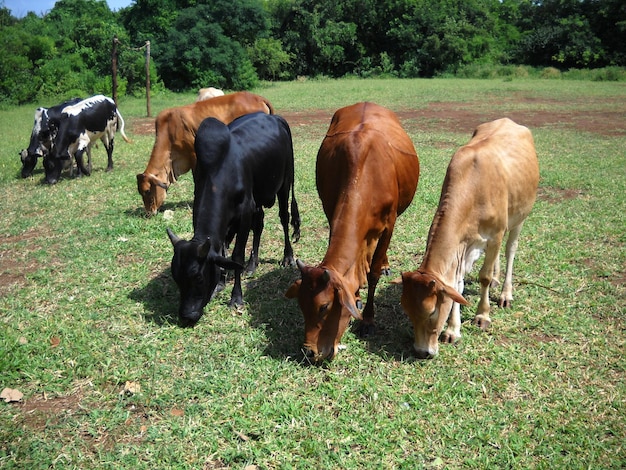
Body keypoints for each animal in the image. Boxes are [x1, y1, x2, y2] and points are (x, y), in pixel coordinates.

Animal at [166, 112, 300, 326]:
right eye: (177, 278)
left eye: (199, 279)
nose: (187, 316)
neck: (219, 170)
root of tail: (275, 117)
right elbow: (222, 252)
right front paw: (220, 283)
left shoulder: (245, 212)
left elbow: (236, 256)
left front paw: (236, 297)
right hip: (258, 199)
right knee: (259, 224)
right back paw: (252, 265)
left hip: (285, 184)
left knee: (284, 219)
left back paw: (287, 256)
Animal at [284, 101, 420, 362]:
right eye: (301, 305)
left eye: (325, 306)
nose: (309, 351)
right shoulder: (331, 212)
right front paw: (356, 296)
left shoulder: (389, 224)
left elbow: (374, 272)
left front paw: (367, 318)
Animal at [400, 117, 536, 360]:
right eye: (407, 310)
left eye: (432, 311)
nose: (422, 352)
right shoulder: (463, 245)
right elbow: (457, 285)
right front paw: (453, 330)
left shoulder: (496, 234)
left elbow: (483, 277)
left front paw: (482, 315)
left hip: (519, 217)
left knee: (510, 249)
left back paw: (505, 293)